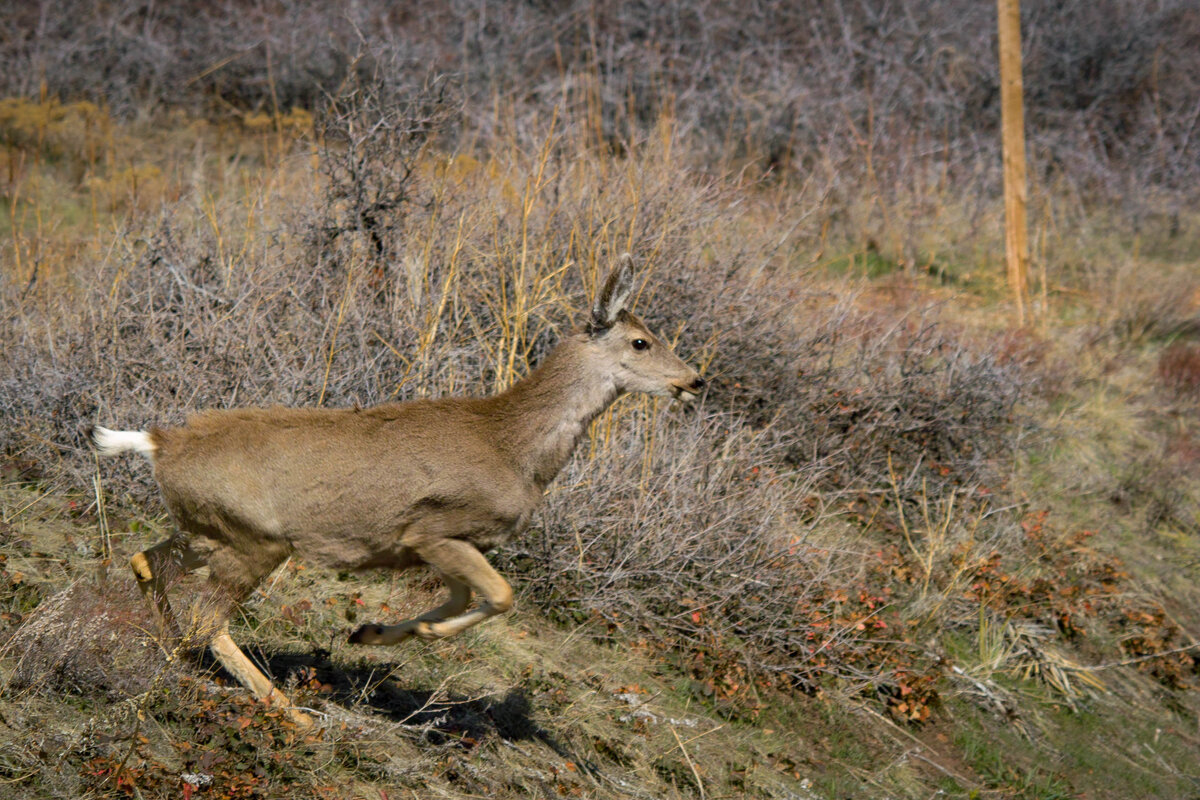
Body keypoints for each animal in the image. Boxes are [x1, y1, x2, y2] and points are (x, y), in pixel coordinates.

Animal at [87, 255, 705, 725]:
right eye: (642, 341)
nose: (694, 380)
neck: (514, 448)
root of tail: (159, 442)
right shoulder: (432, 530)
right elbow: (500, 595)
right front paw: (412, 632)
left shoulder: (439, 546)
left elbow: (462, 599)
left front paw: (371, 632)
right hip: (255, 540)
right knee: (208, 621)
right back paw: (292, 713)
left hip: (209, 530)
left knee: (146, 561)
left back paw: (171, 651)